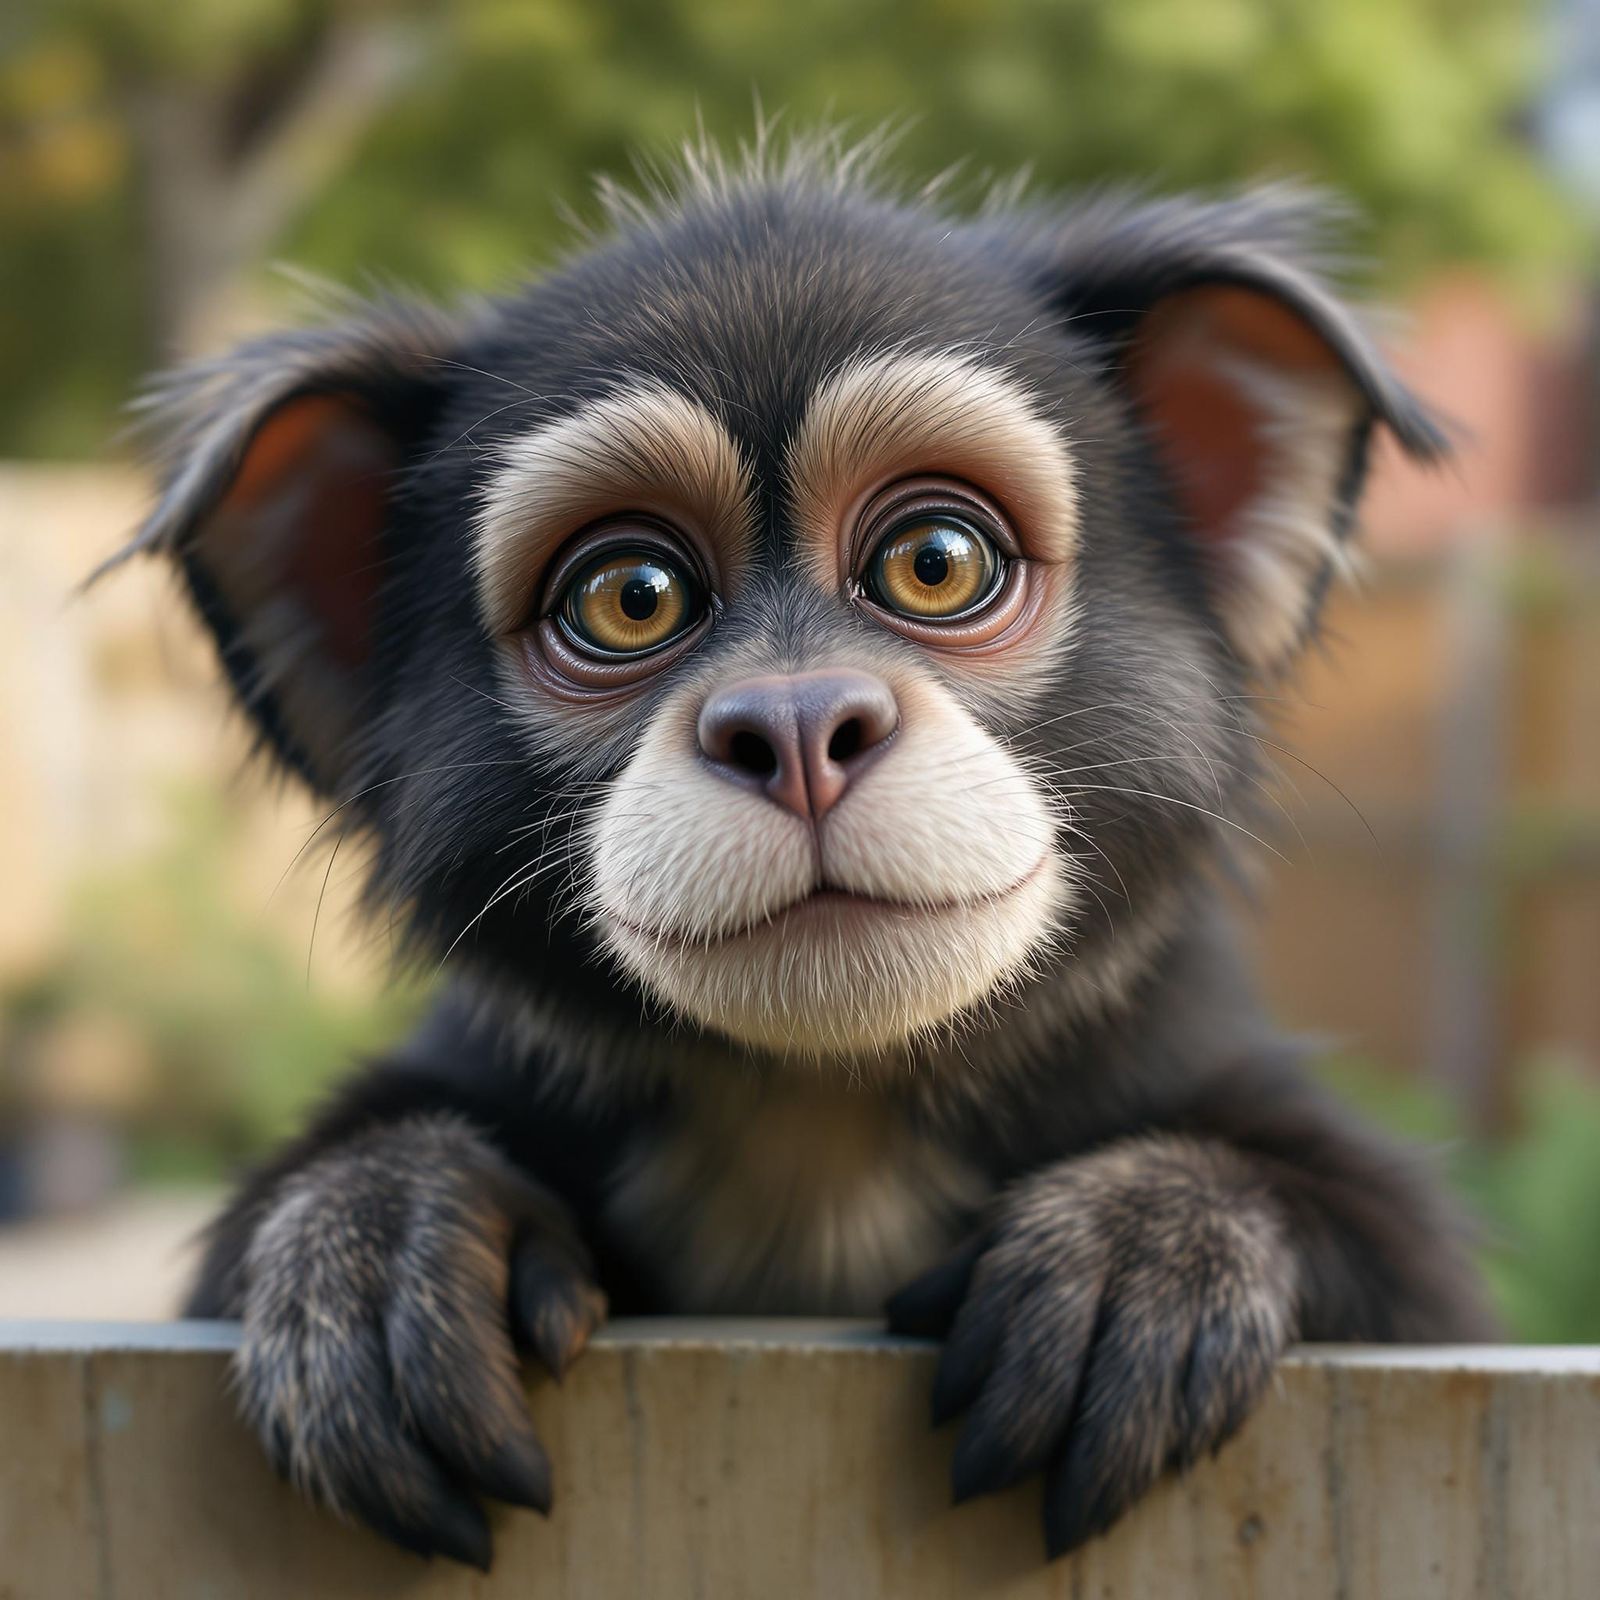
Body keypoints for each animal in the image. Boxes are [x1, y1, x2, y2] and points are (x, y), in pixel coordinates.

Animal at [115, 135, 1493, 1571]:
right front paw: (380, 1231)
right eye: (631, 598)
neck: (821, 1116)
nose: (792, 730)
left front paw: (1154, 1238)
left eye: (936, 563)